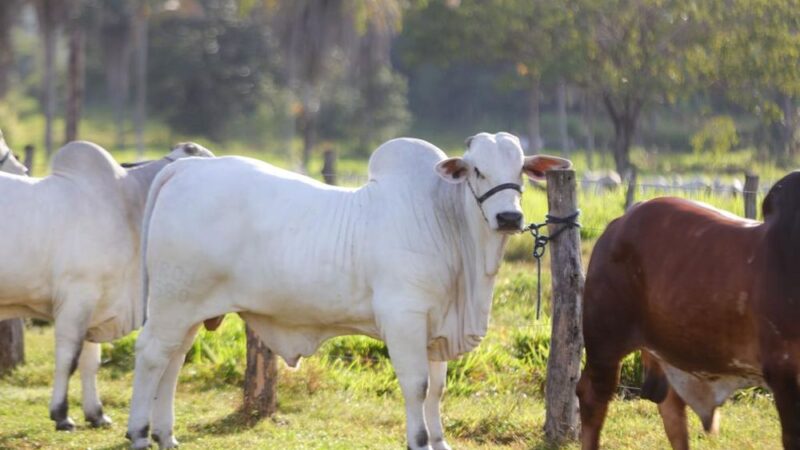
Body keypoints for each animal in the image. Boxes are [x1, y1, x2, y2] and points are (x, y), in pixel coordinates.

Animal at [0, 140, 214, 428]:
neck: (127, 203)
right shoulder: (77, 299)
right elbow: (68, 358)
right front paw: (61, 414)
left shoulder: (97, 306)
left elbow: (91, 361)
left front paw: (96, 414)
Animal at [128, 133, 572, 450]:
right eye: (477, 170)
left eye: (520, 169)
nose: (509, 217)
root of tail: (186, 169)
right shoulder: (404, 320)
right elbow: (417, 388)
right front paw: (419, 441)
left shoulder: (436, 331)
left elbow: (437, 391)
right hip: (173, 302)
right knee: (151, 356)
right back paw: (139, 434)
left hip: (188, 311)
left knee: (172, 362)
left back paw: (166, 436)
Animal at [580, 171, 800, 448]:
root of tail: (616, 225)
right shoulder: (785, 373)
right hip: (604, 344)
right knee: (592, 399)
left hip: (669, 348)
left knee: (671, 409)